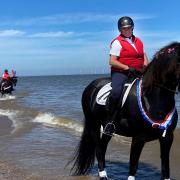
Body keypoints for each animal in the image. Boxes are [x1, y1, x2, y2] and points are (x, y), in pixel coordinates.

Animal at [71, 42, 180, 180]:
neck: (151, 99)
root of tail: (91, 86)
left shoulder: (167, 137)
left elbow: (166, 167)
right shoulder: (138, 138)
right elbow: (133, 165)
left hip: (106, 129)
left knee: (102, 147)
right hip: (93, 125)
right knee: (99, 149)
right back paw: (103, 175)